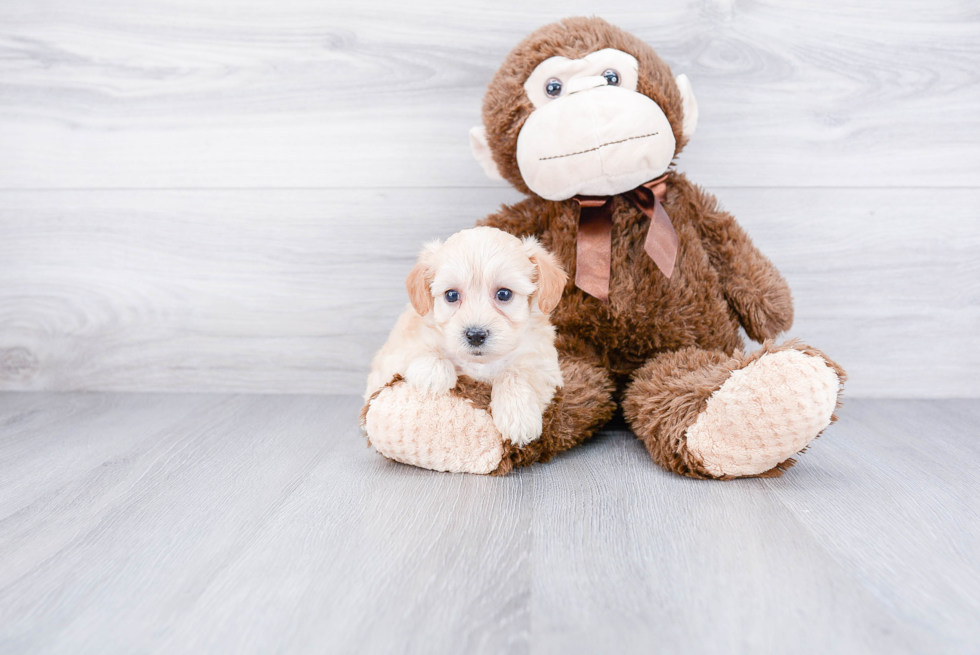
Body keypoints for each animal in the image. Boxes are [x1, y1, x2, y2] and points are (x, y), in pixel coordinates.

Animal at [366, 228, 568, 448]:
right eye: (451, 295)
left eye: (504, 294)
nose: (476, 335)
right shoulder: (395, 352)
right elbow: (417, 347)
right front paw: (433, 372)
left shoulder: (544, 363)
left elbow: (514, 373)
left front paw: (517, 416)